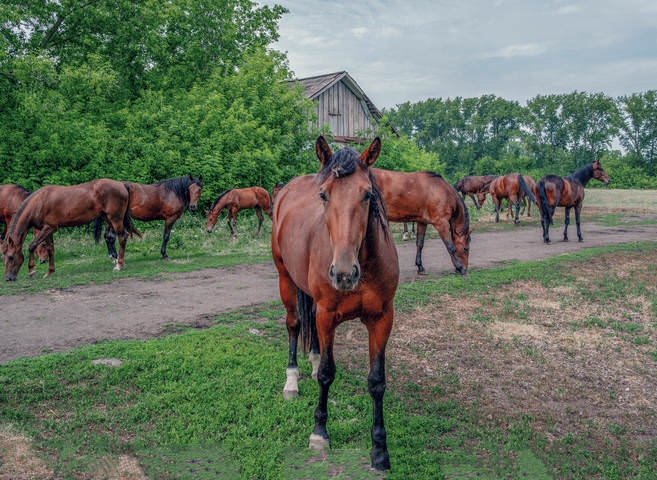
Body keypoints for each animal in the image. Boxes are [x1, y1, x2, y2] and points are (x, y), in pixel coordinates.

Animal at [2, 179, 140, 281]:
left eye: (11, 257)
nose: (8, 278)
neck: (40, 202)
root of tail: (121, 184)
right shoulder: (48, 230)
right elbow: (50, 249)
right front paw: (49, 272)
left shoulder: (49, 228)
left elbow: (32, 246)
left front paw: (31, 271)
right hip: (108, 218)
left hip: (115, 219)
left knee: (122, 238)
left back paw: (119, 265)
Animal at [272, 136, 398, 471]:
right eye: (324, 195)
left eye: (367, 194)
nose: (343, 273)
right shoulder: (328, 315)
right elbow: (329, 374)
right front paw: (319, 433)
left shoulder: (382, 319)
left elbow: (376, 381)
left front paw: (380, 450)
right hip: (285, 279)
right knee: (294, 325)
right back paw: (292, 382)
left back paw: (313, 362)